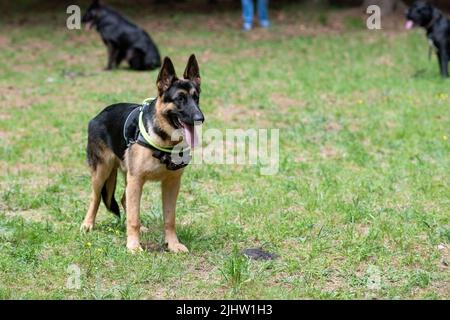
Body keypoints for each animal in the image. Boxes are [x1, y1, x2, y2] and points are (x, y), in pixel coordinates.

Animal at [81, 54, 205, 252]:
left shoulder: (171, 184)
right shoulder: (136, 180)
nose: (200, 118)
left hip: (127, 178)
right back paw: (87, 224)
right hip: (102, 172)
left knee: (124, 199)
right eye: (179, 99)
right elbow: (133, 217)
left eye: (196, 97)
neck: (164, 140)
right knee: (96, 197)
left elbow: (169, 218)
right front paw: (133, 246)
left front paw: (172, 244)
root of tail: (99, 114)